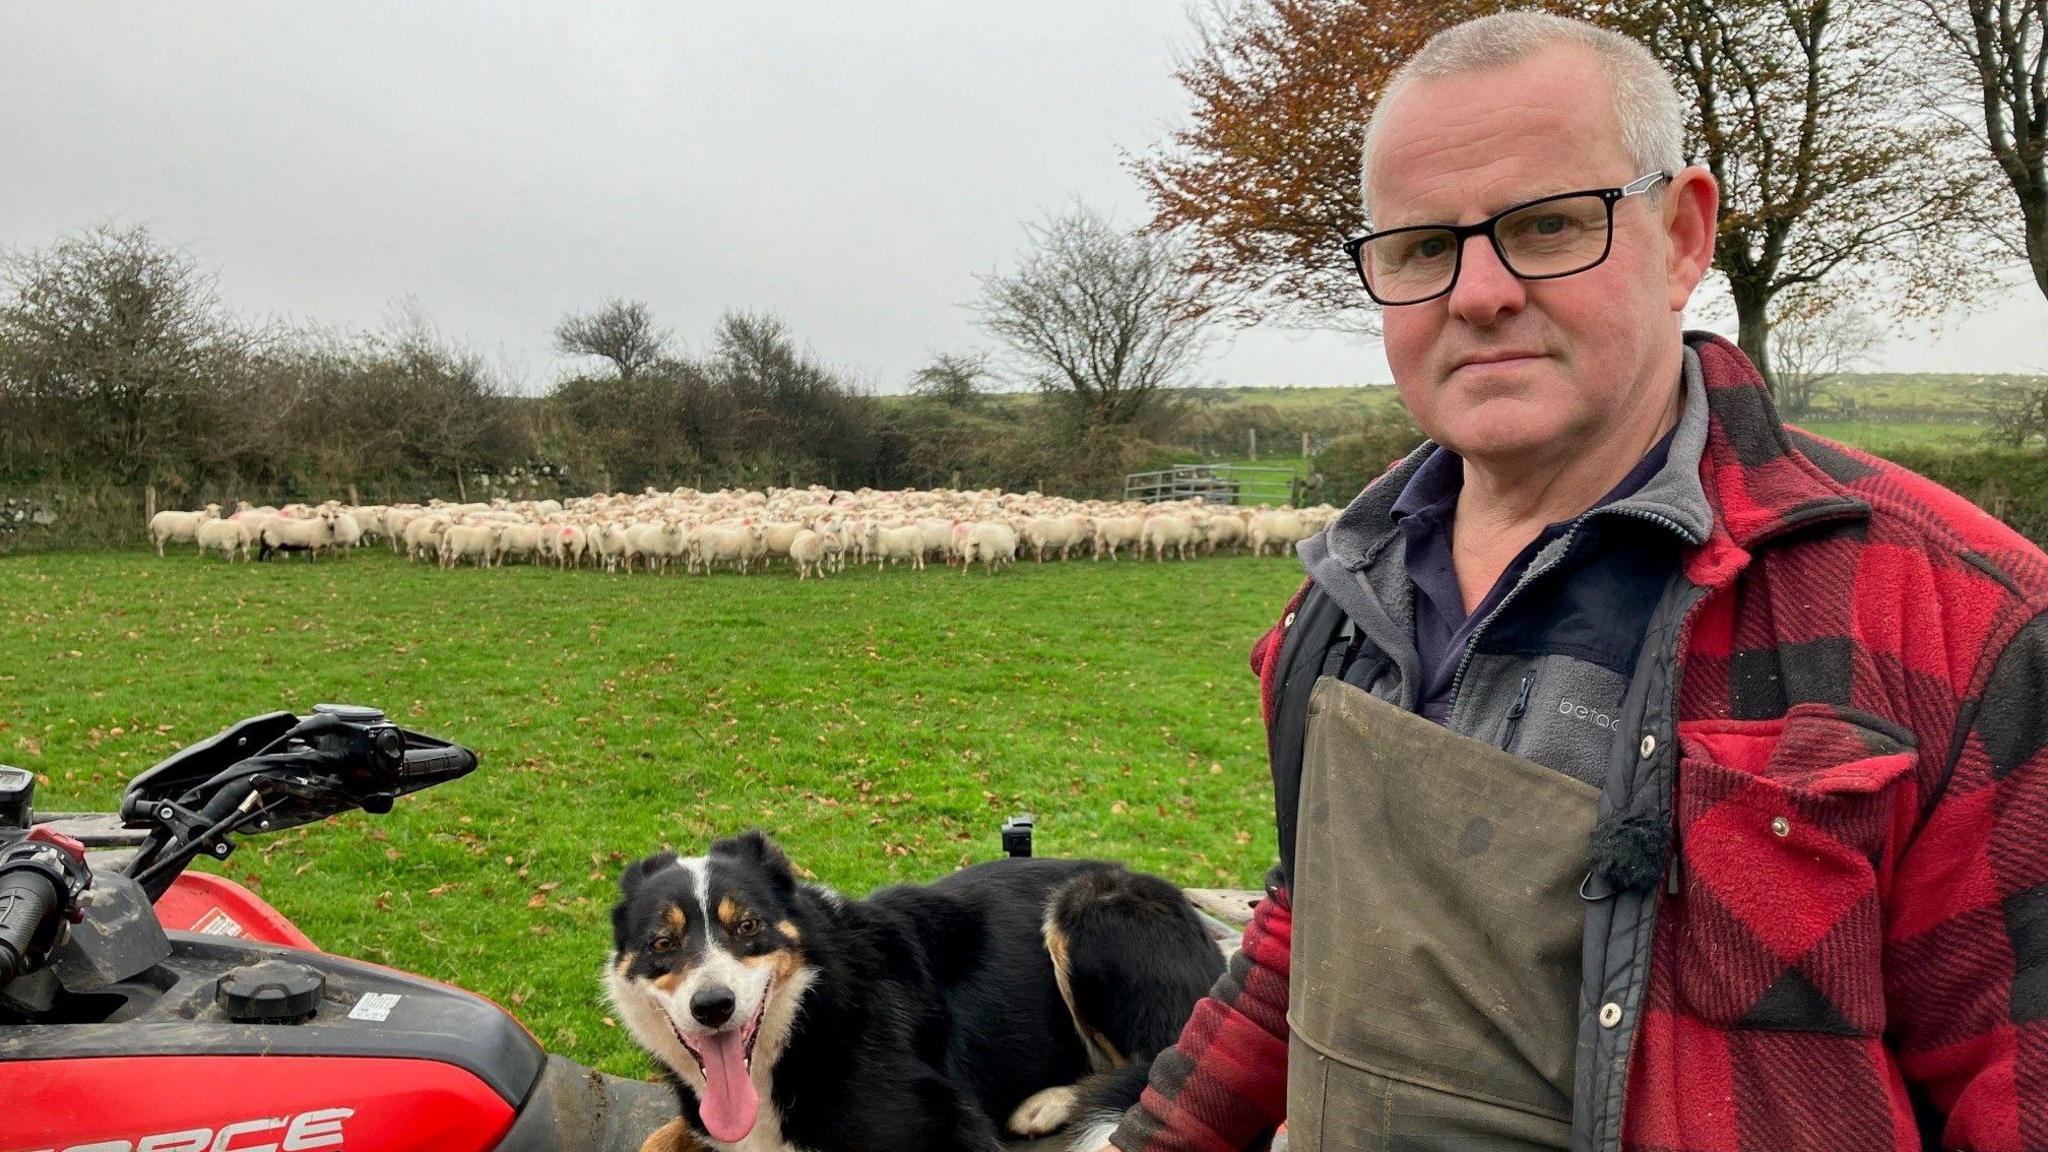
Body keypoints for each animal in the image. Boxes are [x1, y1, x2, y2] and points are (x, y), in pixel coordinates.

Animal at [598, 828, 1220, 1139]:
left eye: (747, 926)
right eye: (662, 944)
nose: (713, 1007)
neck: (808, 1017)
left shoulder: (948, 1127)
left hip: (1086, 911)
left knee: (1164, 1057)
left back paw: (1049, 1103)